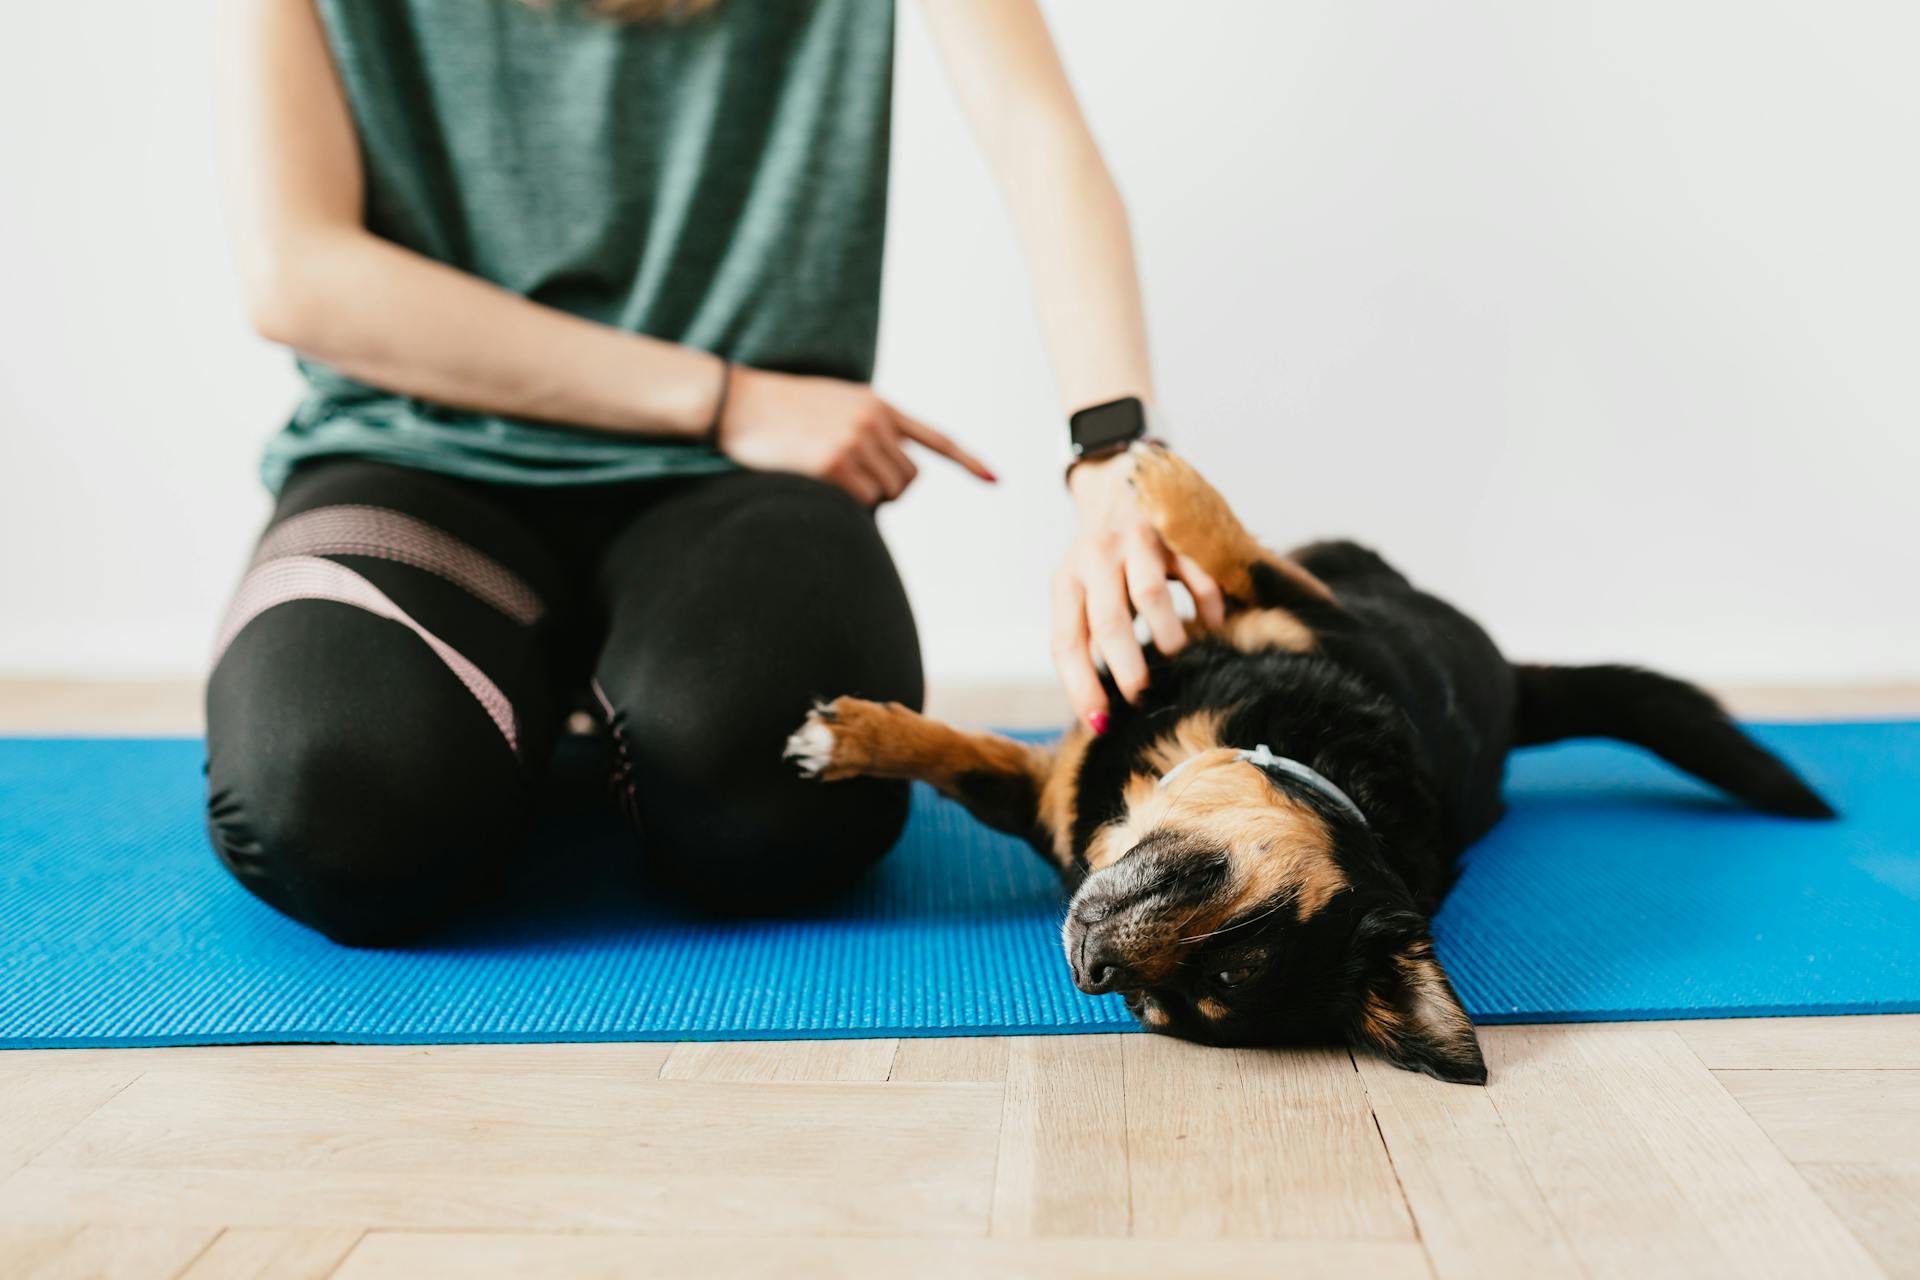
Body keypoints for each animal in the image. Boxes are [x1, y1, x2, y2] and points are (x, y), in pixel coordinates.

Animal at [775, 445, 1827, 1090]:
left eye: (1161, 1004)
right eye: (1239, 916)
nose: (1090, 967)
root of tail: (1513, 689)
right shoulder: (1300, 623)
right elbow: (964, 757)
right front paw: (856, 738)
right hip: (1345, 568)